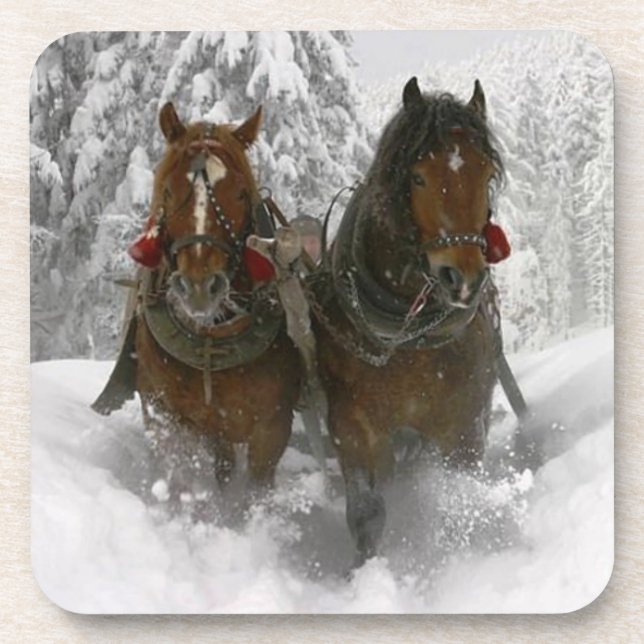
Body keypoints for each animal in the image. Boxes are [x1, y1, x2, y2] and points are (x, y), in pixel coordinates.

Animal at [93, 103, 302, 510]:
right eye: (169, 191)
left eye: (241, 194)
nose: (200, 287)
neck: (210, 340)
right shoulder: (165, 416)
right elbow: (178, 478)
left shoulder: (272, 429)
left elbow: (255, 493)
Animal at [311, 77, 508, 565]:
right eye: (418, 177)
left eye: (485, 175)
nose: (462, 278)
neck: (406, 335)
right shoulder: (353, 425)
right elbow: (367, 513)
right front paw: (364, 571)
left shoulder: (462, 424)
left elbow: (460, 499)